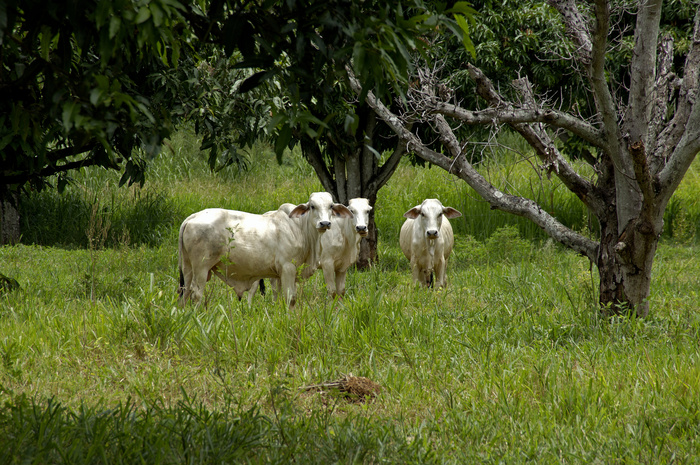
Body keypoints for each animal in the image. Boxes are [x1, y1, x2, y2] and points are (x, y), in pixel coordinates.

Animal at [175, 191, 350, 304]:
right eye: (313, 206)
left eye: (331, 206)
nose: (325, 223)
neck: (299, 227)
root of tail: (191, 217)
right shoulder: (288, 268)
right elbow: (291, 299)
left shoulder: (282, 274)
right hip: (201, 267)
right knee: (196, 294)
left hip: (188, 266)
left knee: (185, 292)